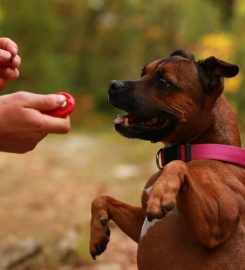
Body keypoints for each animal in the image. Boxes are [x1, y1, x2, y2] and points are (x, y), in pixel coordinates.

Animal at [90, 51, 245, 270]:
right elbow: (101, 198)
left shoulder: (217, 225)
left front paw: (162, 193)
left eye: (163, 82)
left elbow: (176, 165)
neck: (200, 150)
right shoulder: (140, 220)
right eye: (143, 72)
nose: (113, 85)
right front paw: (97, 233)